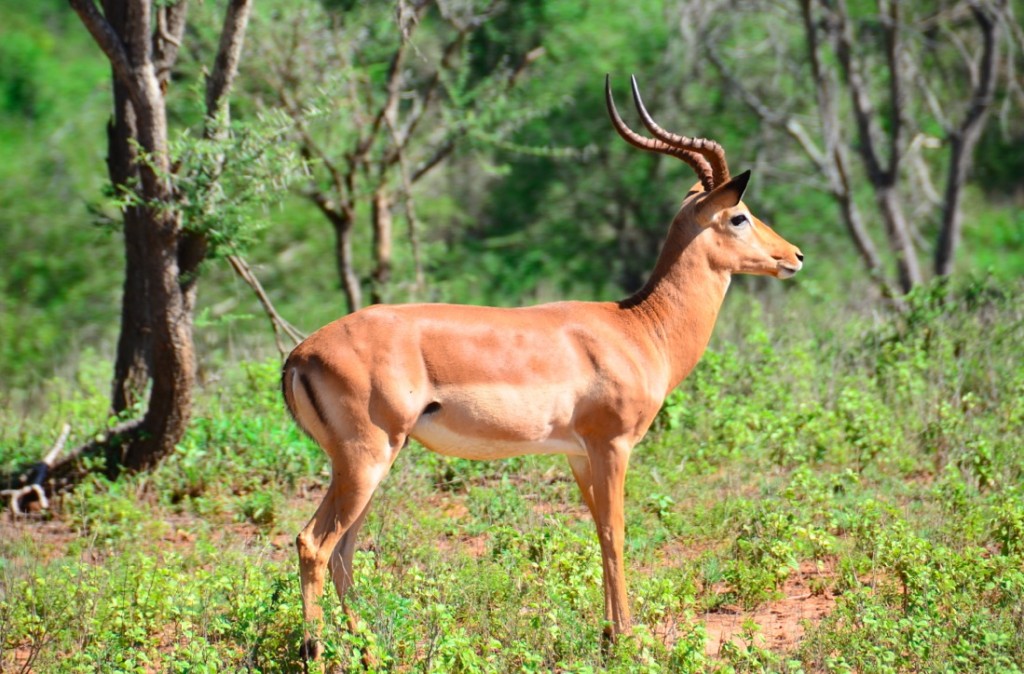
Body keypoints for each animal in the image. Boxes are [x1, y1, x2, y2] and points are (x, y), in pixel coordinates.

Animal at [282, 75, 803, 659]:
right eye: (739, 215)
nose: (795, 256)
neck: (638, 327)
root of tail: (300, 354)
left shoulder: (578, 454)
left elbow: (598, 531)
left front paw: (608, 635)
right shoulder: (613, 445)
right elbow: (618, 534)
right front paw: (630, 641)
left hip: (362, 464)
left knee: (342, 549)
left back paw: (371, 650)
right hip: (367, 458)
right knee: (314, 542)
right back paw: (317, 652)